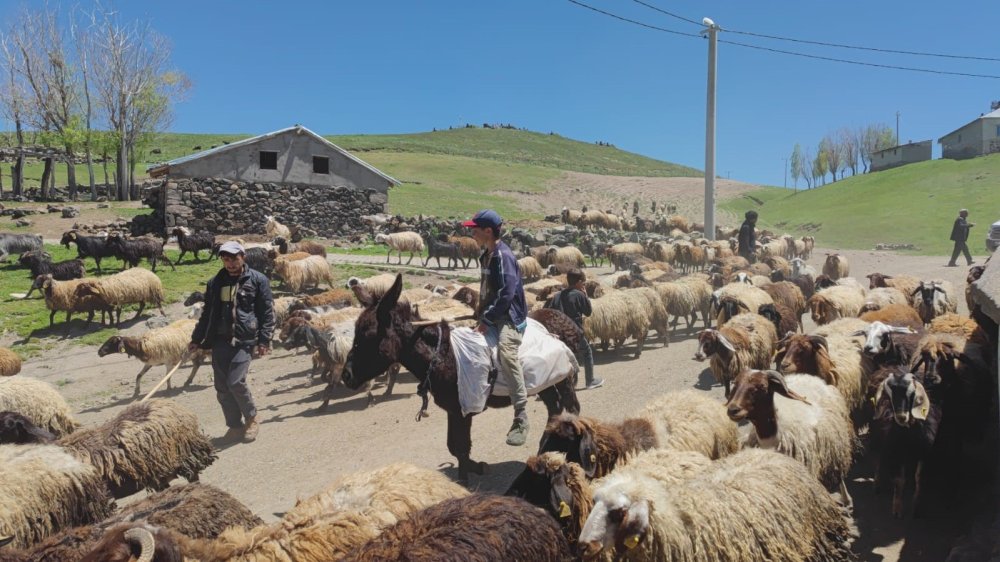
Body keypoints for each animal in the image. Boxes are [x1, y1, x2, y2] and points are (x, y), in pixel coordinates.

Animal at [724, 370, 856, 506]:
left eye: (762, 387)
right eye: (736, 384)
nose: (733, 410)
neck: (772, 440)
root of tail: (807, 376)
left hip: (835, 440)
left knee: (839, 469)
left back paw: (846, 499)